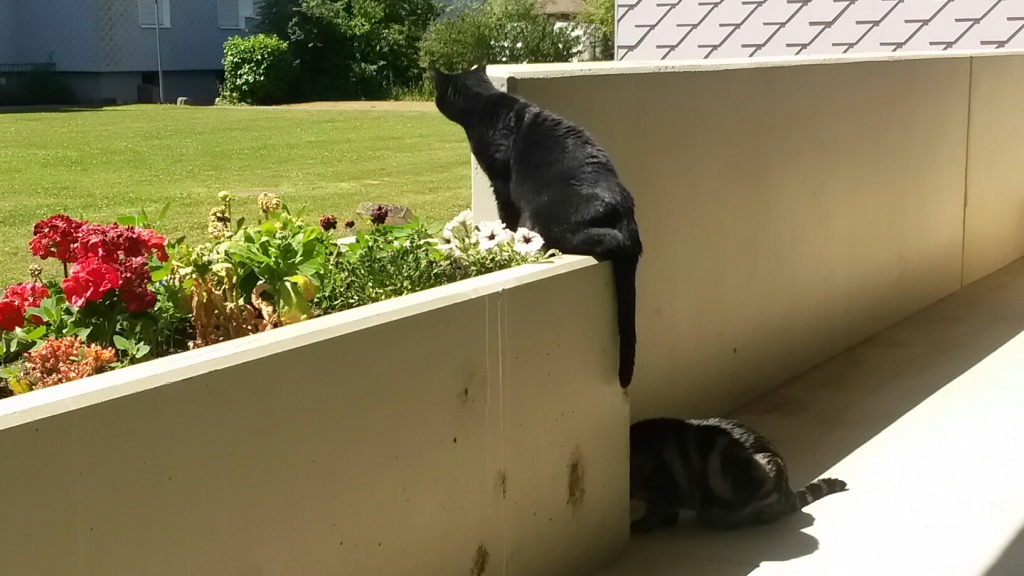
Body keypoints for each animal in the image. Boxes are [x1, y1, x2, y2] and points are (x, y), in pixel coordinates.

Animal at [430, 62, 638, 387]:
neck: (487, 105)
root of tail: (624, 203)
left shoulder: (501, 183)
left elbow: (506, 215)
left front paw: (503, 236)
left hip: (546, 221)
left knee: (608, 240)